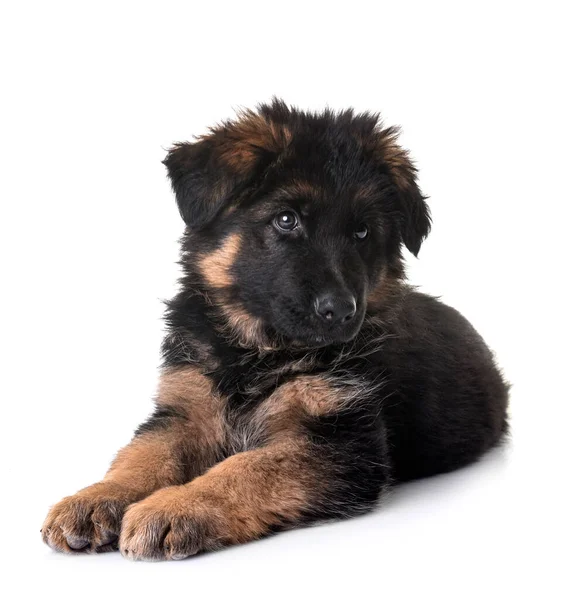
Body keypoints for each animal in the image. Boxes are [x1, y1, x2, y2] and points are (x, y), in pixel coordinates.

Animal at [41, 99, 508, 564]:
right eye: (287, 220)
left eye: (362, 232)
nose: (341, 311)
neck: (255, 349)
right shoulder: (185, 409)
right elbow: (142, 454)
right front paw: (97, 497)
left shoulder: (342, 444)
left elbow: (244, 468)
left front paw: (176, 505)